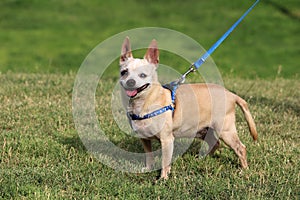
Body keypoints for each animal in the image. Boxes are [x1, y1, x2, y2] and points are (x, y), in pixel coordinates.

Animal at [119, 37, 258, 180]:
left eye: (143, 75)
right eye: (124, 72)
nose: (130, 82)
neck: (143, 103)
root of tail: (232, 94)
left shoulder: (167, 140)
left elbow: (165, 162)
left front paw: (163, 179)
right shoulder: (145, 138)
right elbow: (149, 155)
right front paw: (148, 168)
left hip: (225, 131)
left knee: (240, 148)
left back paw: (244, 170)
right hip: (202, 130)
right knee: (215, 143)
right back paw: (202, 159)